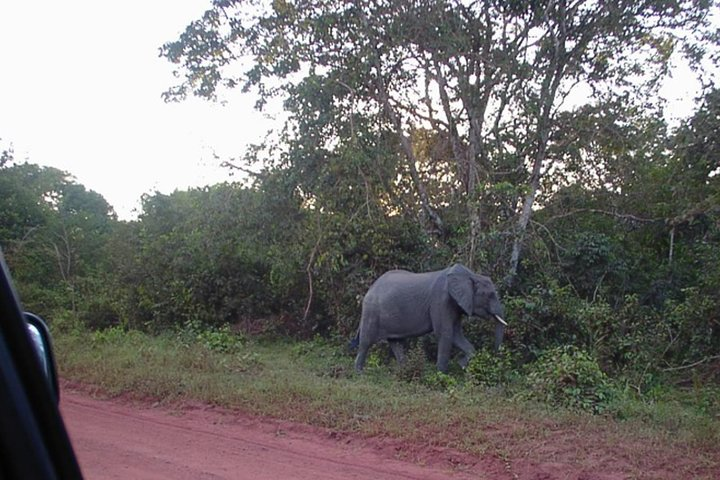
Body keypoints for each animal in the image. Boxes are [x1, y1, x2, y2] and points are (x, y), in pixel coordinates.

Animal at [353, 264, 506, 373]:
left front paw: (461, 364)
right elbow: (445, 333)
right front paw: (441, 375)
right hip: (371, 311)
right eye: (490, 295)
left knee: (396, 343)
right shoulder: (441, 300)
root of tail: (371, 287)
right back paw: (359, 373)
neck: (471, 275)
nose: (495, 353)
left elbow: (456, 334)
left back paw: (404, 372)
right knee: (366, 342)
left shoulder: (456, 304)